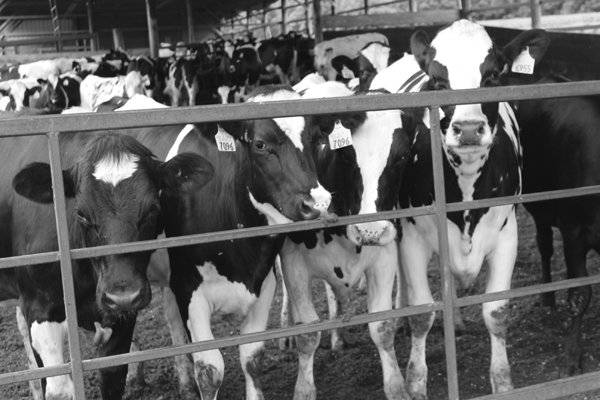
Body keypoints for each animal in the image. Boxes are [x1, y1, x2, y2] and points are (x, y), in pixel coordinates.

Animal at [0, 124, 213, 396]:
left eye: (153, 209)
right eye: (81, 214)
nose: (123, 296)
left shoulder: (122, 318)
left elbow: (113, 377)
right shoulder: (40, 308)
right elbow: (59, 388)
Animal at [280, 81, 412, 400]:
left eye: (402, 157)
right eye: (346, 155)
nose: (370, 231)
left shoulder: (385, 256)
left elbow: (382, 327)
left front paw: (397, 386)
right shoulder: (294, 264)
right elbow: (307, 333)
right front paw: (303, 390)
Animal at [368, 19, 552, 396]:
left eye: (493, 75)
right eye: (438, 81)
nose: (468, 129)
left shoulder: (507, 235)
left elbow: (496, 311)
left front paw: (503, 382)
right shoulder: (413, 239)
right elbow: (422, 313)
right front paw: (416, 383)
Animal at [516, 73, 600, 376]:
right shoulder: (573, 233)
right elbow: (579, 294)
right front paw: (573, 355)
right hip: (538, 208)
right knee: (544, 246)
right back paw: (547, 297)